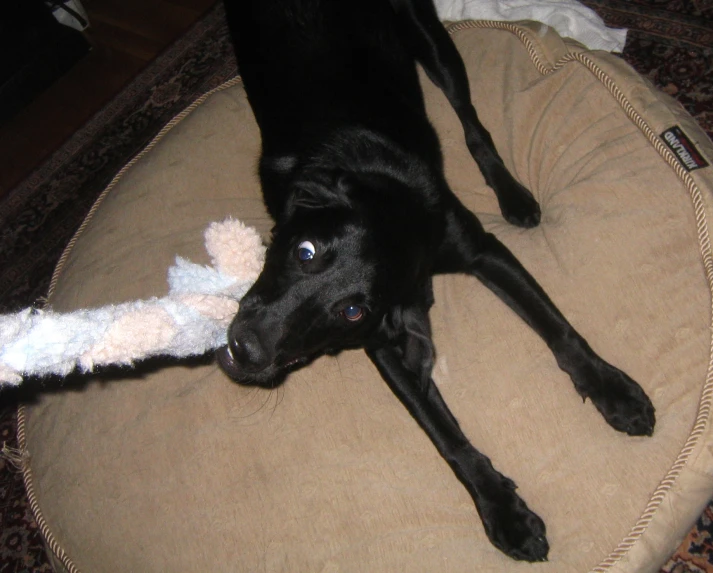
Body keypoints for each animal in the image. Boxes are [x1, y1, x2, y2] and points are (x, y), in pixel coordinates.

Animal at [218, 0, 656, 560]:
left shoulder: (481, 252)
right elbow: (446, 434)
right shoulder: (385, 342)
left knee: (471, 122)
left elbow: (559, 330)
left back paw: (512, 194)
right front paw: (503, 509)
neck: (393, 211)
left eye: (351, 309)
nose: (246, 346)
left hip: (430, 40)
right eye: (305, 251)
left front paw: (609, 388)